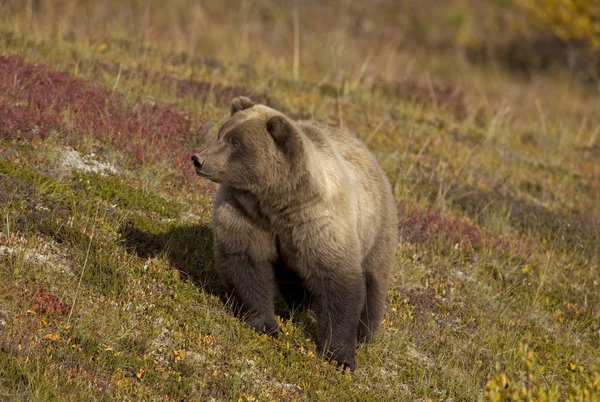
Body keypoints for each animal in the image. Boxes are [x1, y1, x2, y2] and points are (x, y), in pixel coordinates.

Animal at [192, 96, 398, 370]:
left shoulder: (319, 224)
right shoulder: (246, 213)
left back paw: (365, 334)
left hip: (376, 228)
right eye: (221, 134)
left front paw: (341, 356)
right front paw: (264, 324)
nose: (198, 159)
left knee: (373, 281)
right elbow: (246, 263)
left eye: (235, 142)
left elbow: (339, 284)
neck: (277, 201)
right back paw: (298, 307)